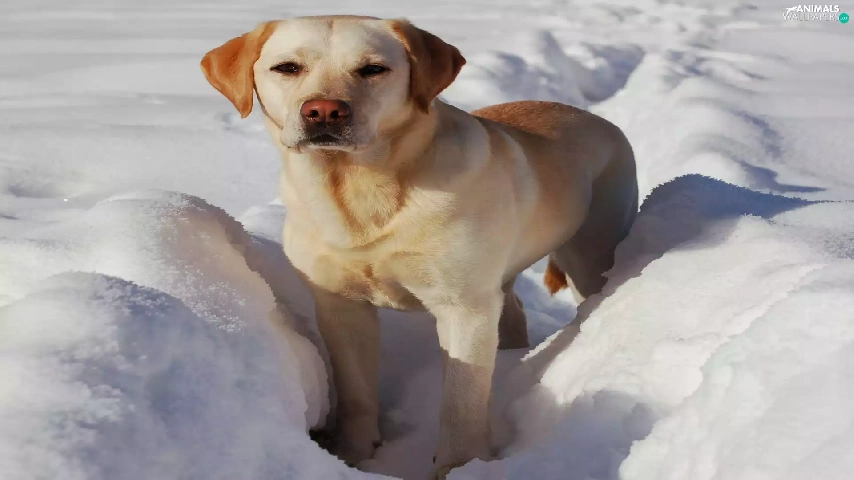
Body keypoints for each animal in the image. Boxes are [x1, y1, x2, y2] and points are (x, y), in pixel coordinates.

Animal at [201, 15, 637, 479]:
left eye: (373, 69)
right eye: (287, 67)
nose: (324, 111)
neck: (359, 190)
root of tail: (596, 118)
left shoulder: (463, 307)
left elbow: (461, 404)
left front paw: (459, 467)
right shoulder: (341, 304)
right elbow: (355, 392)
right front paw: (354, 455)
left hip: (590, 253)